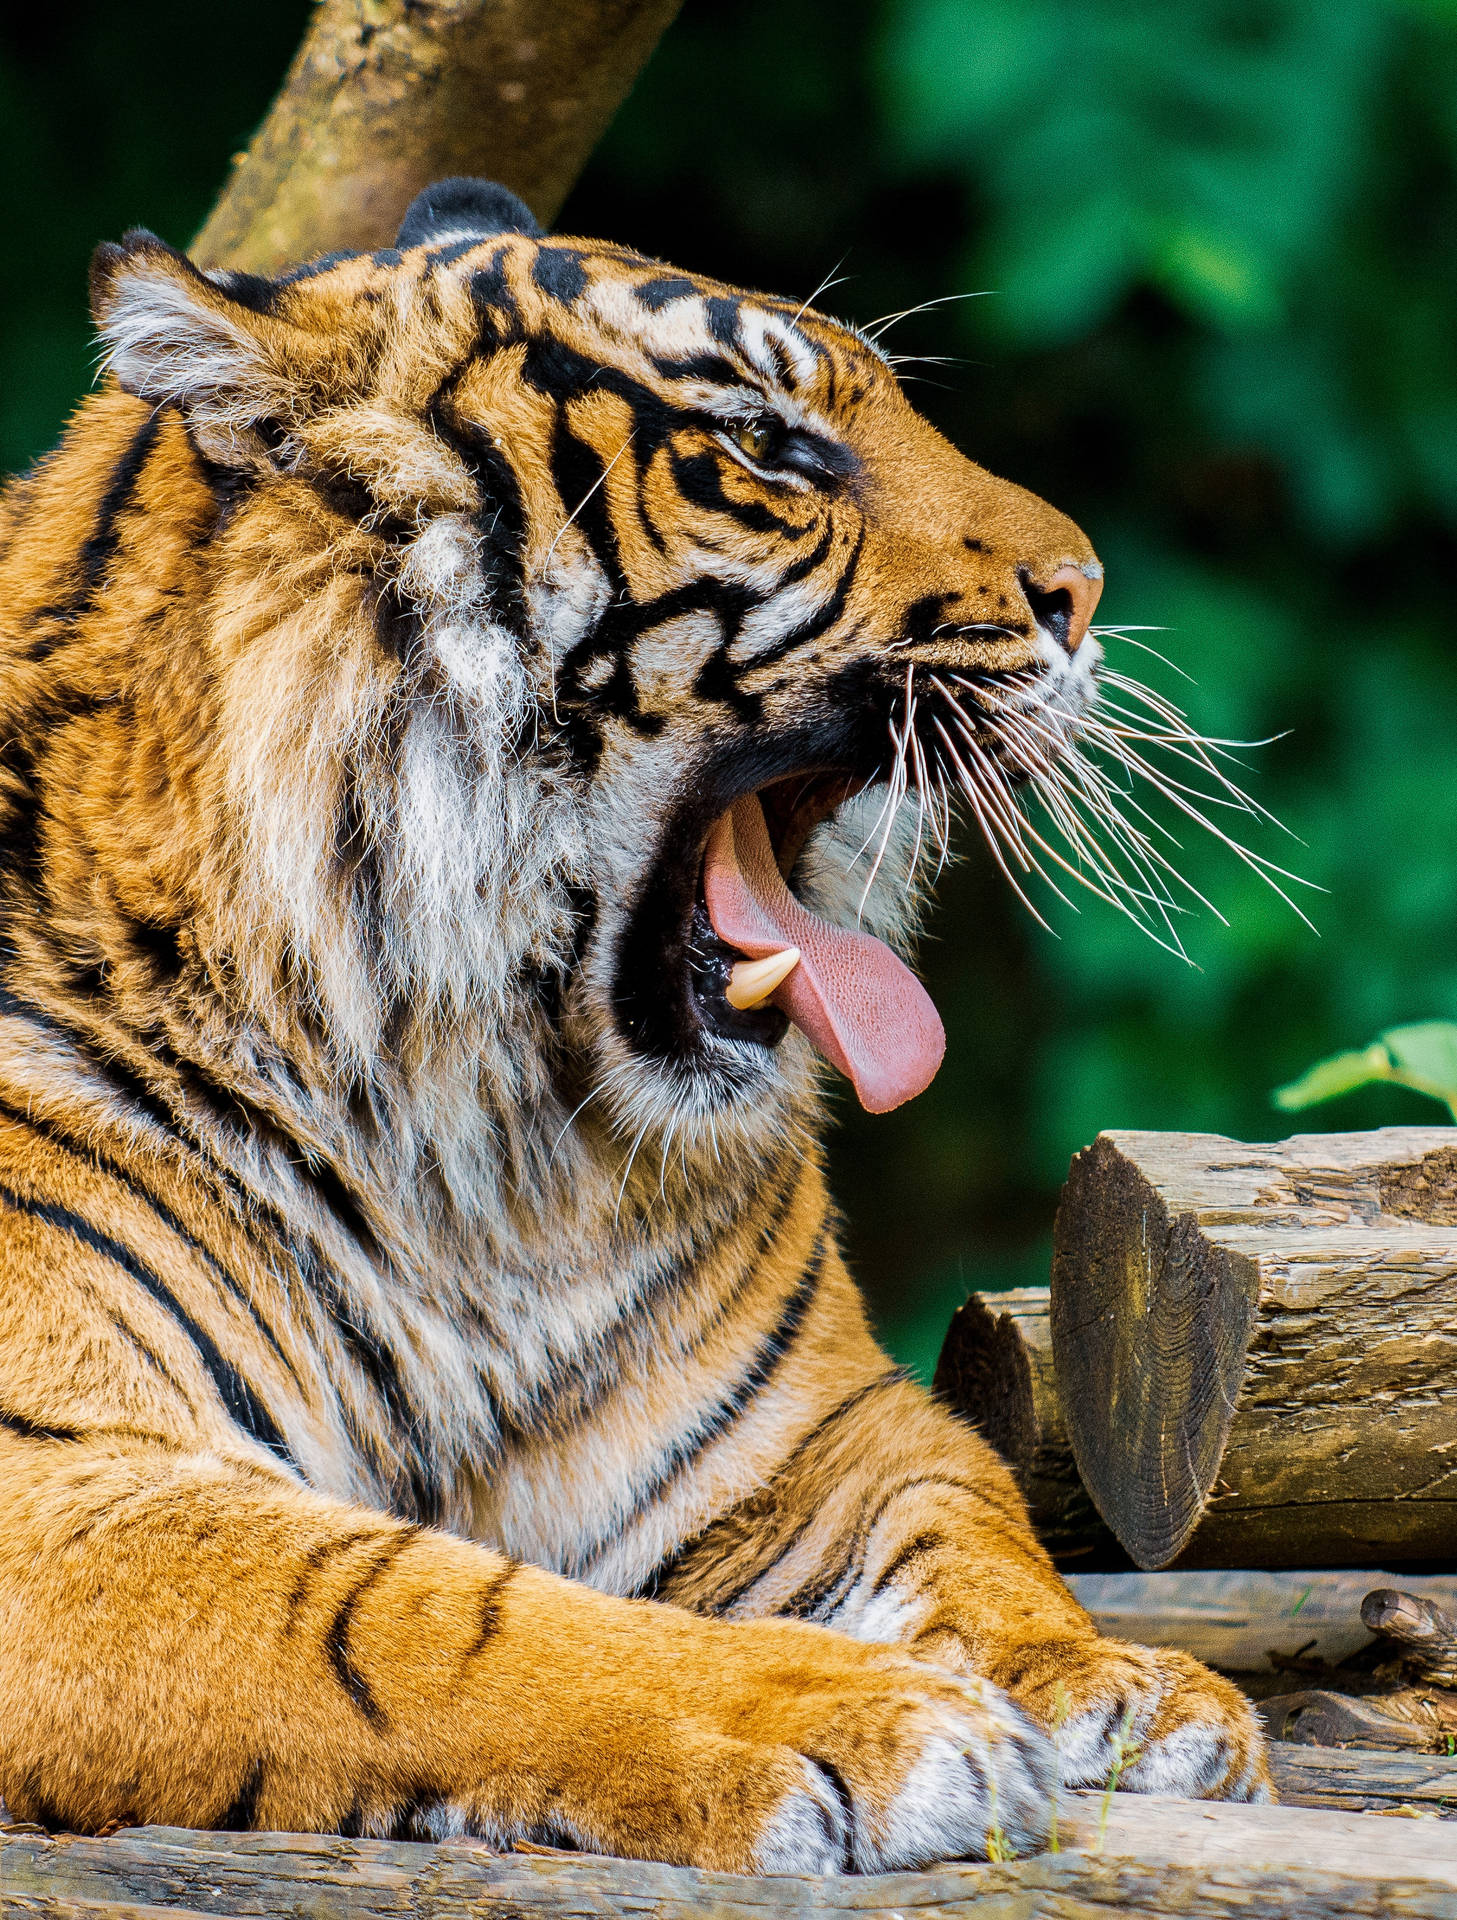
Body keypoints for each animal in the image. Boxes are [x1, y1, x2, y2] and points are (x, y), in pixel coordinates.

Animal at [0, 175, 1268, 1870]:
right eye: (766, 447)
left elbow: (966, 1518)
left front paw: (1120, 1690)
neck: (476, 1138)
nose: (1084, 596)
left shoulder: (813, 1435)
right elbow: (417, 1613)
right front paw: (856, 1715)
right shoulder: (59, 1483)